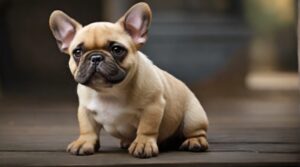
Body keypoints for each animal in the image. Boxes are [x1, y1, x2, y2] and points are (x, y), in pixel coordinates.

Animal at [49, 2, 209, 158]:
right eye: (77, 52)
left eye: (117, 49)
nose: (95, 57)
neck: (109, 92)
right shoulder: (85, 110)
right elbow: (87, 128)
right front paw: (84, 142)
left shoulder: (153, 107)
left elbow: (146, 128)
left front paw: (143, 144)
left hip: (193, 118)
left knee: (196, 131)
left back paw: (195, 141)